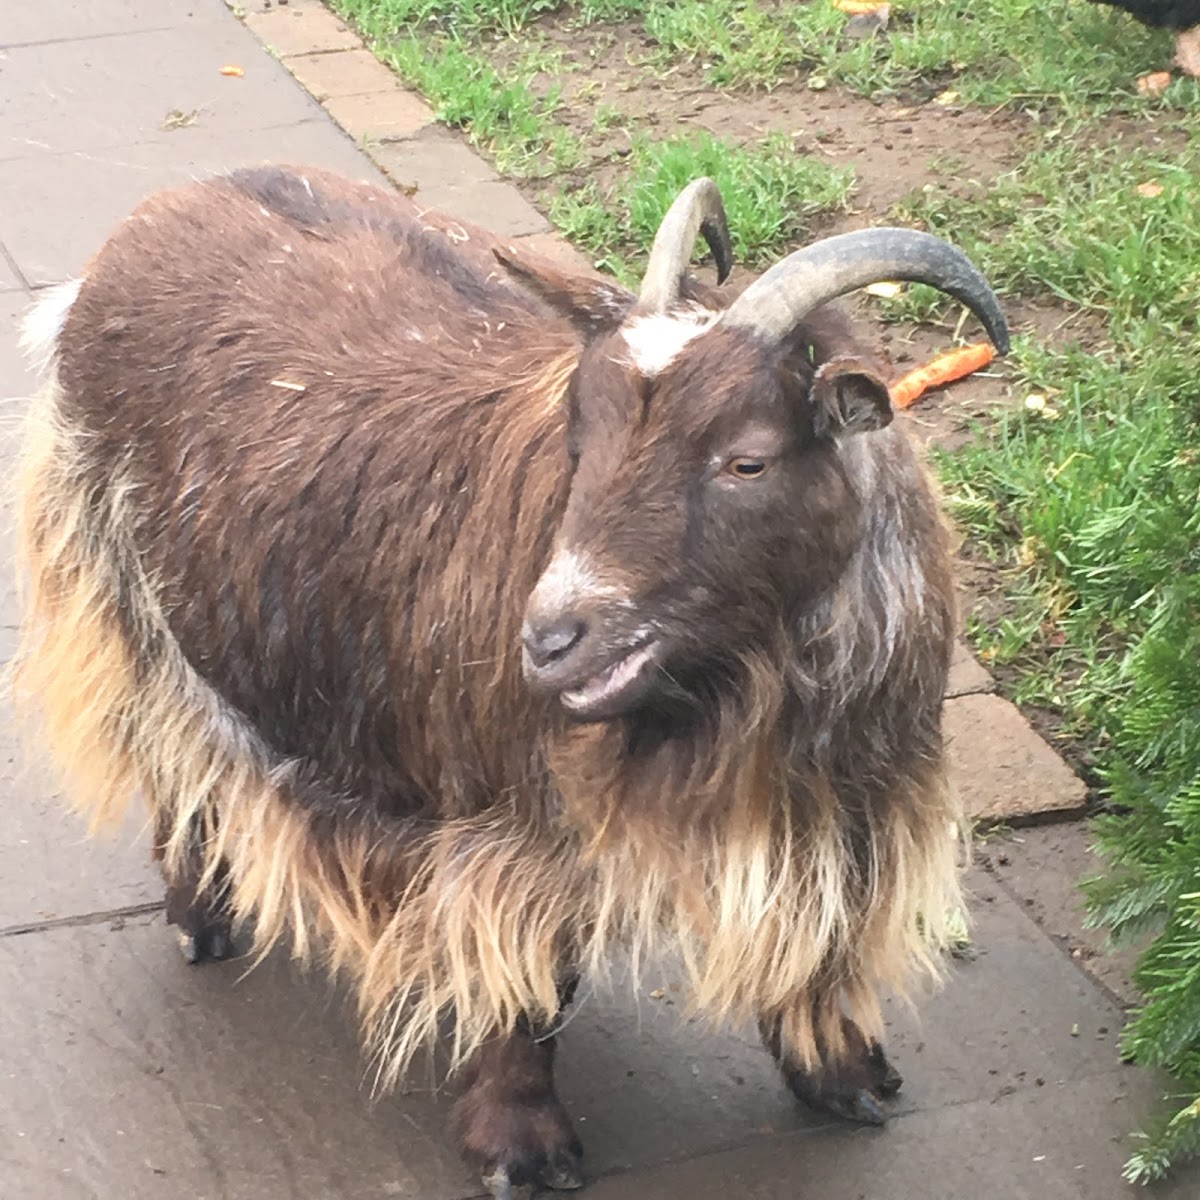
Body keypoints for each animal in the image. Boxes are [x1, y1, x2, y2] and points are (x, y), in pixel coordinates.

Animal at [14, 164, 1008, 1197]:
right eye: (579, 438)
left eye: (748, 459)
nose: (551, 639)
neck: (729, 695)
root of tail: (153, 218)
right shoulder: (515, 821)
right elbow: (534, 984)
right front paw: (522, 1149)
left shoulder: (847, 805)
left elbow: (823, 938)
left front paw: (843, 1074)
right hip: (122, 589)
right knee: (172, 745)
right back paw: (199, 913)